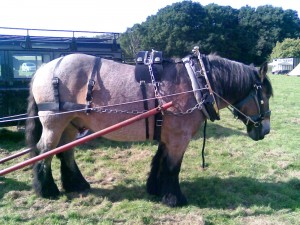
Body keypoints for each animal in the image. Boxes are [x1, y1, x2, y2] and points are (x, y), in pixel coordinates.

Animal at [25, 52, 274, 207]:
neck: (197, 83)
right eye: (265, 96)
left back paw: (76, 184)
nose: (265, 131)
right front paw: (174, 198)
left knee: (65, 152)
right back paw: (46, 189)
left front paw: (155, 188)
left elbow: (160, 161)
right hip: (54, 123)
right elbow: (173, 168)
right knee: (44, 151)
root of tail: (43, 68)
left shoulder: (167, 135)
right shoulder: (178, 138)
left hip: (71, 124)